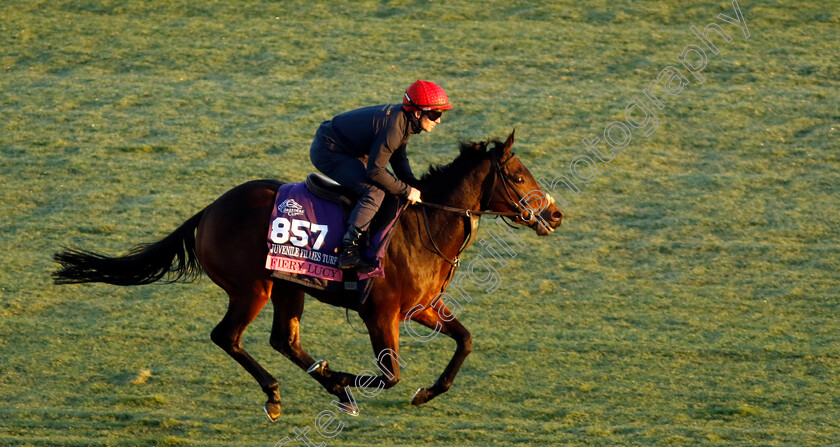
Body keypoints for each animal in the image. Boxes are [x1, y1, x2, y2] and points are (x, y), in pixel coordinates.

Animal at [54, 130, 564, 420]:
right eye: (519, 176)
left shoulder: (421, 307)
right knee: (228, 337)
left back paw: (328, 387)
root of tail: (210, 210)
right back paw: (286, 393)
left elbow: (465, 340)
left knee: (284, 340)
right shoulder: (380, 313)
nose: (555, 215)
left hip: (286, 286)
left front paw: (427, 393)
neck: (425, 226)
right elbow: (389, 375)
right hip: (253, 287)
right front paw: (352, 379)